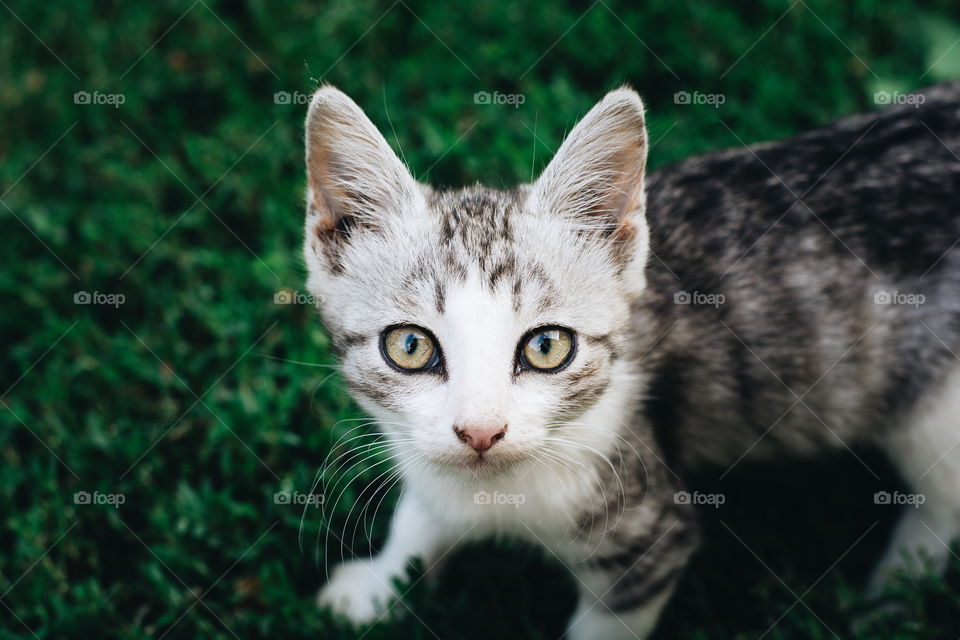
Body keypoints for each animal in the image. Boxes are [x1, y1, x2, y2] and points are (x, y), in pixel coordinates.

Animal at [302, 82, 960, 636]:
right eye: (410, 347)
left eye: (547, 347)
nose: (481, 432)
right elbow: (422, 510)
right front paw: (382, 583)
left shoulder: (647, 534)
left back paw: (893, 597)